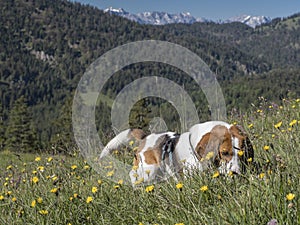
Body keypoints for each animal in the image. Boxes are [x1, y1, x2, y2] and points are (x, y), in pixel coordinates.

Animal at [100, 120, 253, 185]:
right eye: (225, 153)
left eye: (242, 153)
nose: (236, 173)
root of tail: (146, 137)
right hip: (149, 169)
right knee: (133, 175)